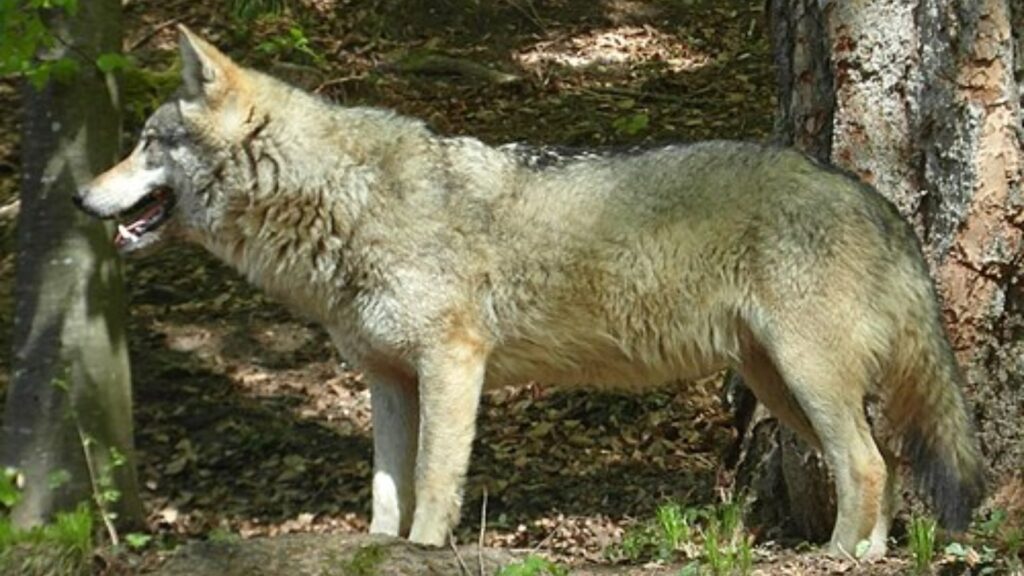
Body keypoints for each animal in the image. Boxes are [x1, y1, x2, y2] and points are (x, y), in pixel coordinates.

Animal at [74, 26, 984, 557]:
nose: (80, 197)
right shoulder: (388, 381)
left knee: (867, 465)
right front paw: (379, 545)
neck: (345, 201)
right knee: (881, 465)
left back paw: (836, 558)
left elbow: (434, 487)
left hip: (803, 378)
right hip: (780, 385)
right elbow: (384, 495)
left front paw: (427, 547)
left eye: (146, 143)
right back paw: (865, 554)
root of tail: (871, 196)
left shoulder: (453, 365)